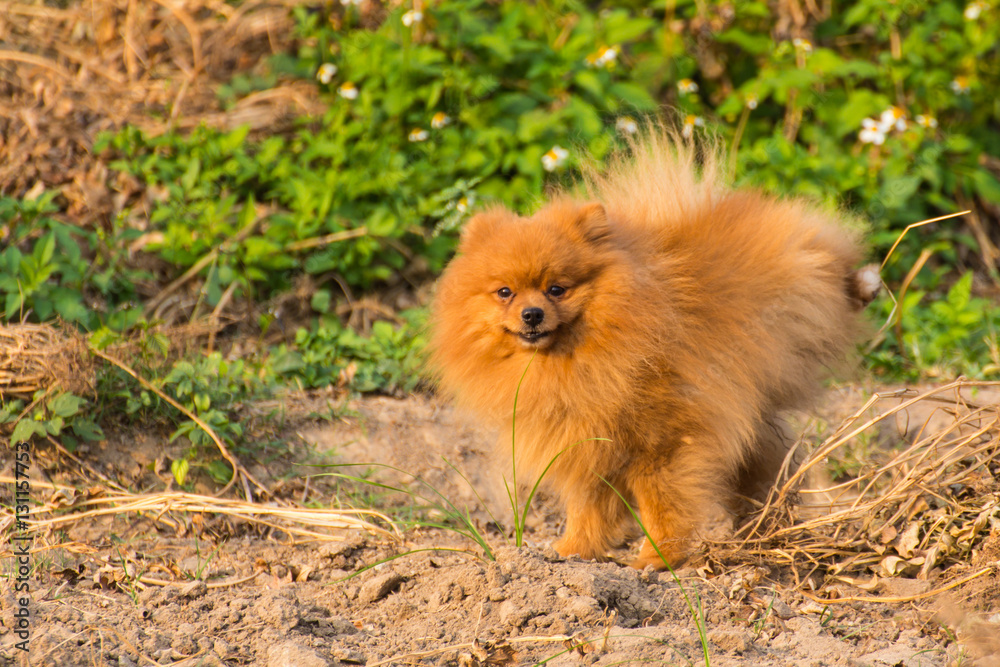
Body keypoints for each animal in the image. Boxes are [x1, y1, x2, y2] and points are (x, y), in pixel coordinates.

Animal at [428, 129, 876, 568]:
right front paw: (572, 551)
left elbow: (663, 503)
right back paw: (761, 526)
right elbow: (588, 507)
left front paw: (657, 557)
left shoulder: (661, 442)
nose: (532, 314)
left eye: (557, 289)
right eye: (505, 292)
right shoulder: (587, 443)